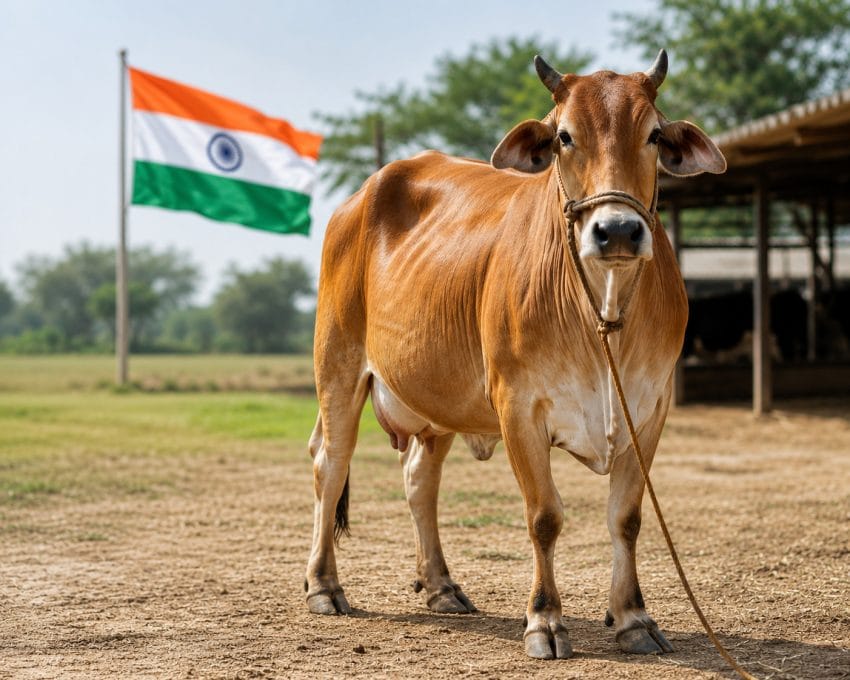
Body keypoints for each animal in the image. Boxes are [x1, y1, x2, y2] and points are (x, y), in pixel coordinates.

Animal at [305, 50, 726, 660]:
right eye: (564, 137)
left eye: (652, 134)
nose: (618, 231)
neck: (602, 314)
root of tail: (363, 193)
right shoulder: (519, 407)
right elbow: (544, 516)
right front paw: (545, 621)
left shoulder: (649, 408)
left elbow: (626, 517)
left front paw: (633, 618)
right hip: (337, 365)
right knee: (330, 465)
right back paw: (323, 585)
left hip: (438, 399)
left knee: (419, 479)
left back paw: (441, 585)